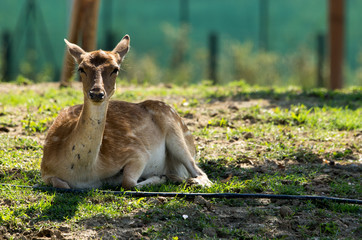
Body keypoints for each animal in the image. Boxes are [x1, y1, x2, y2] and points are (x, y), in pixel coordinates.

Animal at [41, 34, 212, 190]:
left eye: (115, 69)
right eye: (81, 68)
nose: (96, 93)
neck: (83, 172)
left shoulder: (138, 152)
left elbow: (128, 182)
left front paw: (160, 177)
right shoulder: (45, 170)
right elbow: (61, 184)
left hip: (175, 130)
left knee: (201, 173)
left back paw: (187, 180)